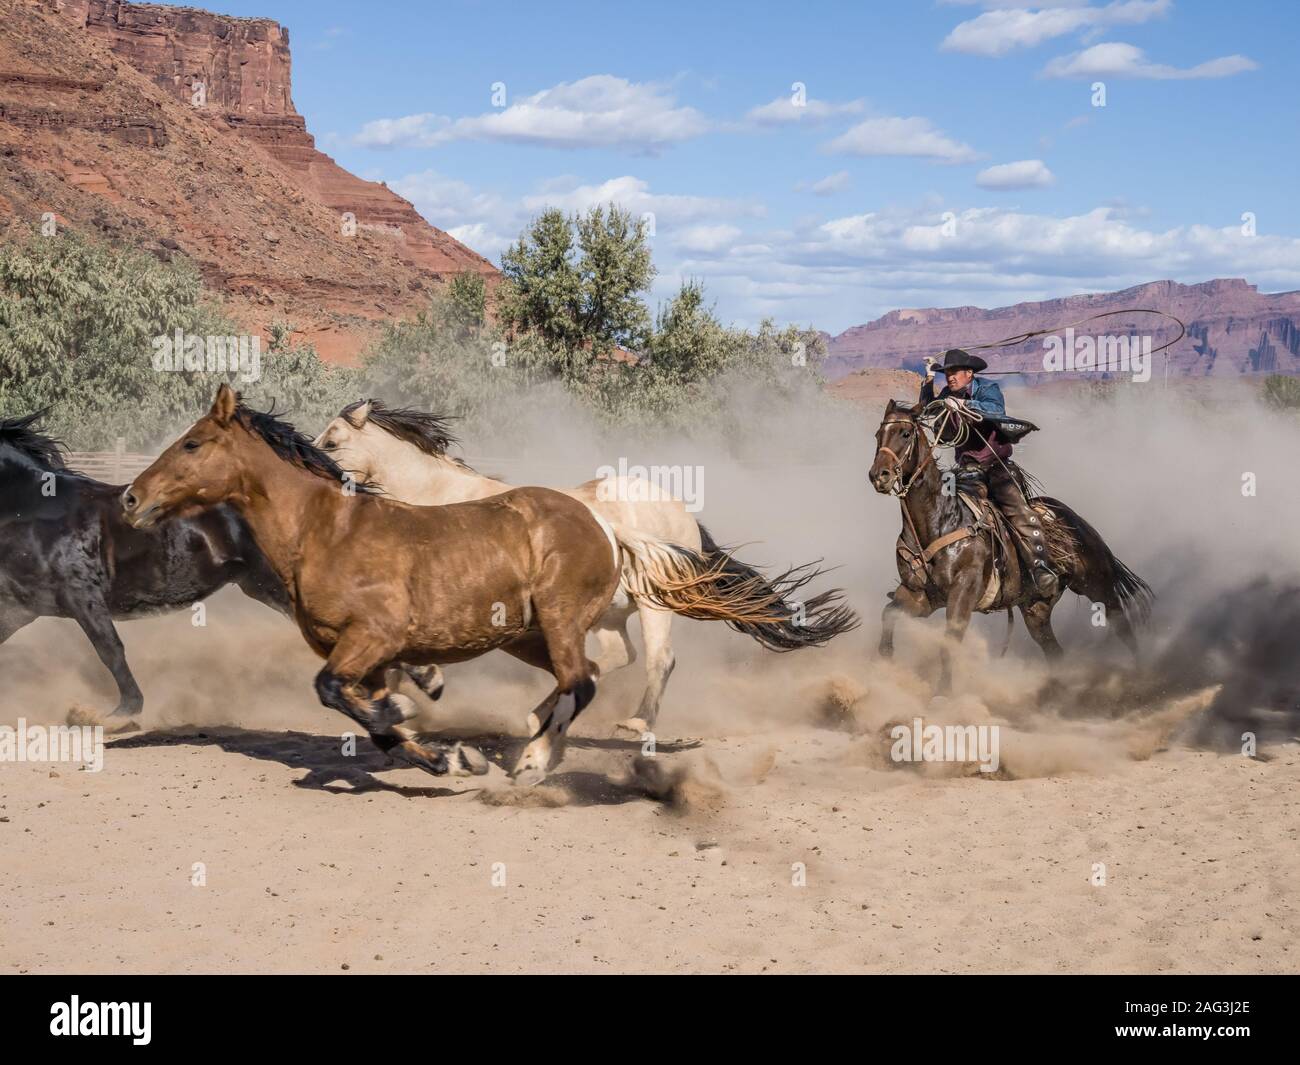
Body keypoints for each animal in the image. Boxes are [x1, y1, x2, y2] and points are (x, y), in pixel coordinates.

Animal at [0, 410, 288, 725]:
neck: (31, 510)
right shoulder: (22, 606)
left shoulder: (82, 595)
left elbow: (110, 649)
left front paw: (122, 713)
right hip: (258, 583)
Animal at [313, 398, 859, 735]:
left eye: (333, 440)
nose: (315, 470)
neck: (442, 497)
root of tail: (684, 515)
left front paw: (412, 688)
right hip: (612, 613)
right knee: (613, 659)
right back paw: (540, 715)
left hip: (655, 604)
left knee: (659, 660)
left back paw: (636, 723)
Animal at [868, 399, 1153, 691]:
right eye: (878, 435)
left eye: (905, 433)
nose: (879, 475)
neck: (940, 519)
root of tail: (1072, 517)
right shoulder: (921, 595)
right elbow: (889, 614)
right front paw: (886, 661)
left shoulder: (963, 592)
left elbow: (949, 641)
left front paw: (942, 692)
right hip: (1036, 608)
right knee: (1054, 650)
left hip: (1097, 584)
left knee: (1122, 624)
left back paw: (1140, 675)